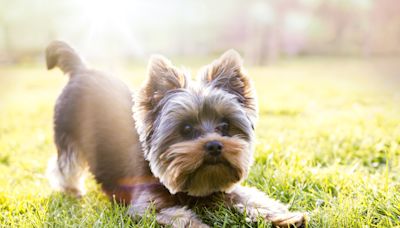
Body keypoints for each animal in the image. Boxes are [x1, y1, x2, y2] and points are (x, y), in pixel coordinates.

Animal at [45, 41, 304, 228]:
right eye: (186, 129)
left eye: (225, 126)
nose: (214, 145)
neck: (192, 188)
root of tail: (82, 69)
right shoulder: (146, 207)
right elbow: (179, 217)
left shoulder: (224, 188)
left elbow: (251, 198)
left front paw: (283, 217)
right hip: (67, 132)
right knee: (65, 164)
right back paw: (72, 190)